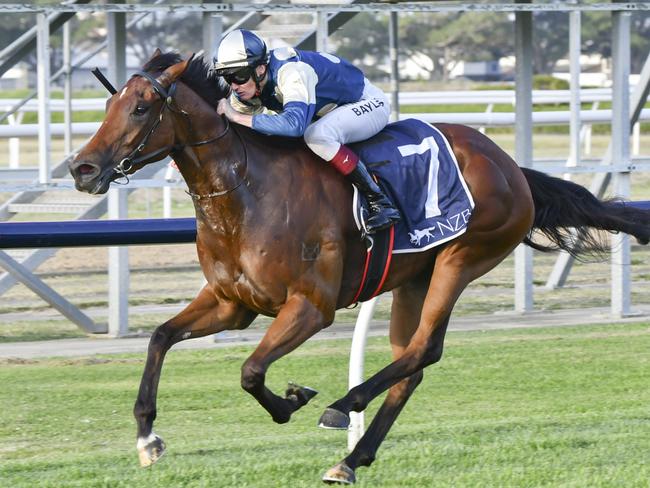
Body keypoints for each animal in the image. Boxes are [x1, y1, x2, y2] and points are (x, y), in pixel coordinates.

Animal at [69, 54, 648, 484]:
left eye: (141, 107)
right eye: (110, 103)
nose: (82, 168)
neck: (246, 190)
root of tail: (511, 167)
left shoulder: (310, 307)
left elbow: (251, 371)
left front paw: (293, 401)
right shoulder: (233, 303)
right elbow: (160, 338)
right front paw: (147, 438)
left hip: (463, 258)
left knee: (424, 349)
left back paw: (343, 406)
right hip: (414, 279)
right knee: (410, 365)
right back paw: (350, 459)